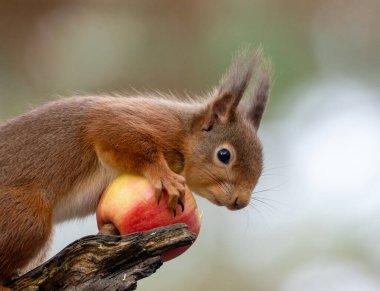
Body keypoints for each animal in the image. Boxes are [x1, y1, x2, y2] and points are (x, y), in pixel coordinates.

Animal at [0, 49, 274, 282]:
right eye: (224, 155)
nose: (241, 201)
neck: (184, 135)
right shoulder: (131, 122)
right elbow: (128, 140)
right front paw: (164, 176)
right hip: (26, 218)